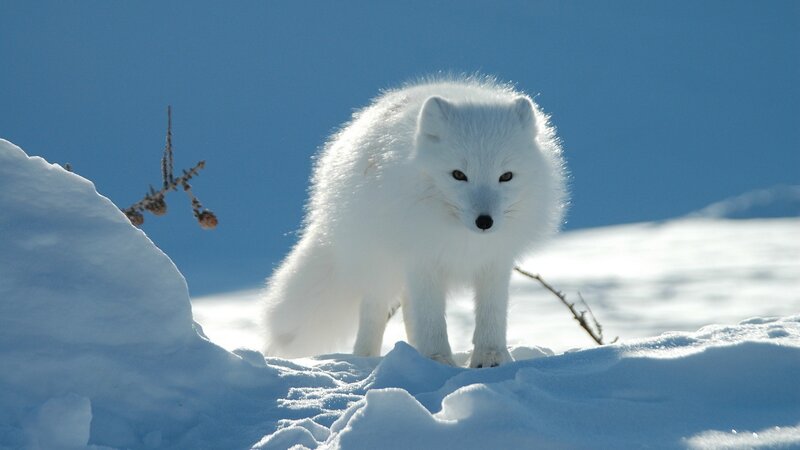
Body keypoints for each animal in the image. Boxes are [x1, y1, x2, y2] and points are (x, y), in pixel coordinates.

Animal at [263, 76, 567, 368]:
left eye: (506, 176)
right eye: (458, 175)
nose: (485, 222)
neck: (463, 238)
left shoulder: (495, 261)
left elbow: (491, 314)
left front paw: (491, 358)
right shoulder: (422, 258)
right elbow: (431, 319)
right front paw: (437, 360)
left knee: (409, 310)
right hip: (379, 263)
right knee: (375, 311)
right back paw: (366, 359)